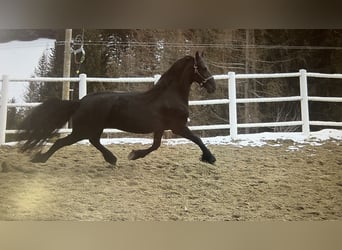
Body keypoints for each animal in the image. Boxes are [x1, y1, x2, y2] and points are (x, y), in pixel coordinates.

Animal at [18, 51, 216, 165]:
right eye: (203, 67)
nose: (212, 87)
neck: (169, 96)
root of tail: (80, 102)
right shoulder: (178, 127)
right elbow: (197, 139)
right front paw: (210, 158)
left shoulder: (160, 128)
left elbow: (155, 146)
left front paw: (134, 154)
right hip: (82, 130)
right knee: (62, 142)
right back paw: (40, 158)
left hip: (93, 129)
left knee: (94, 141)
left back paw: (111, 159)